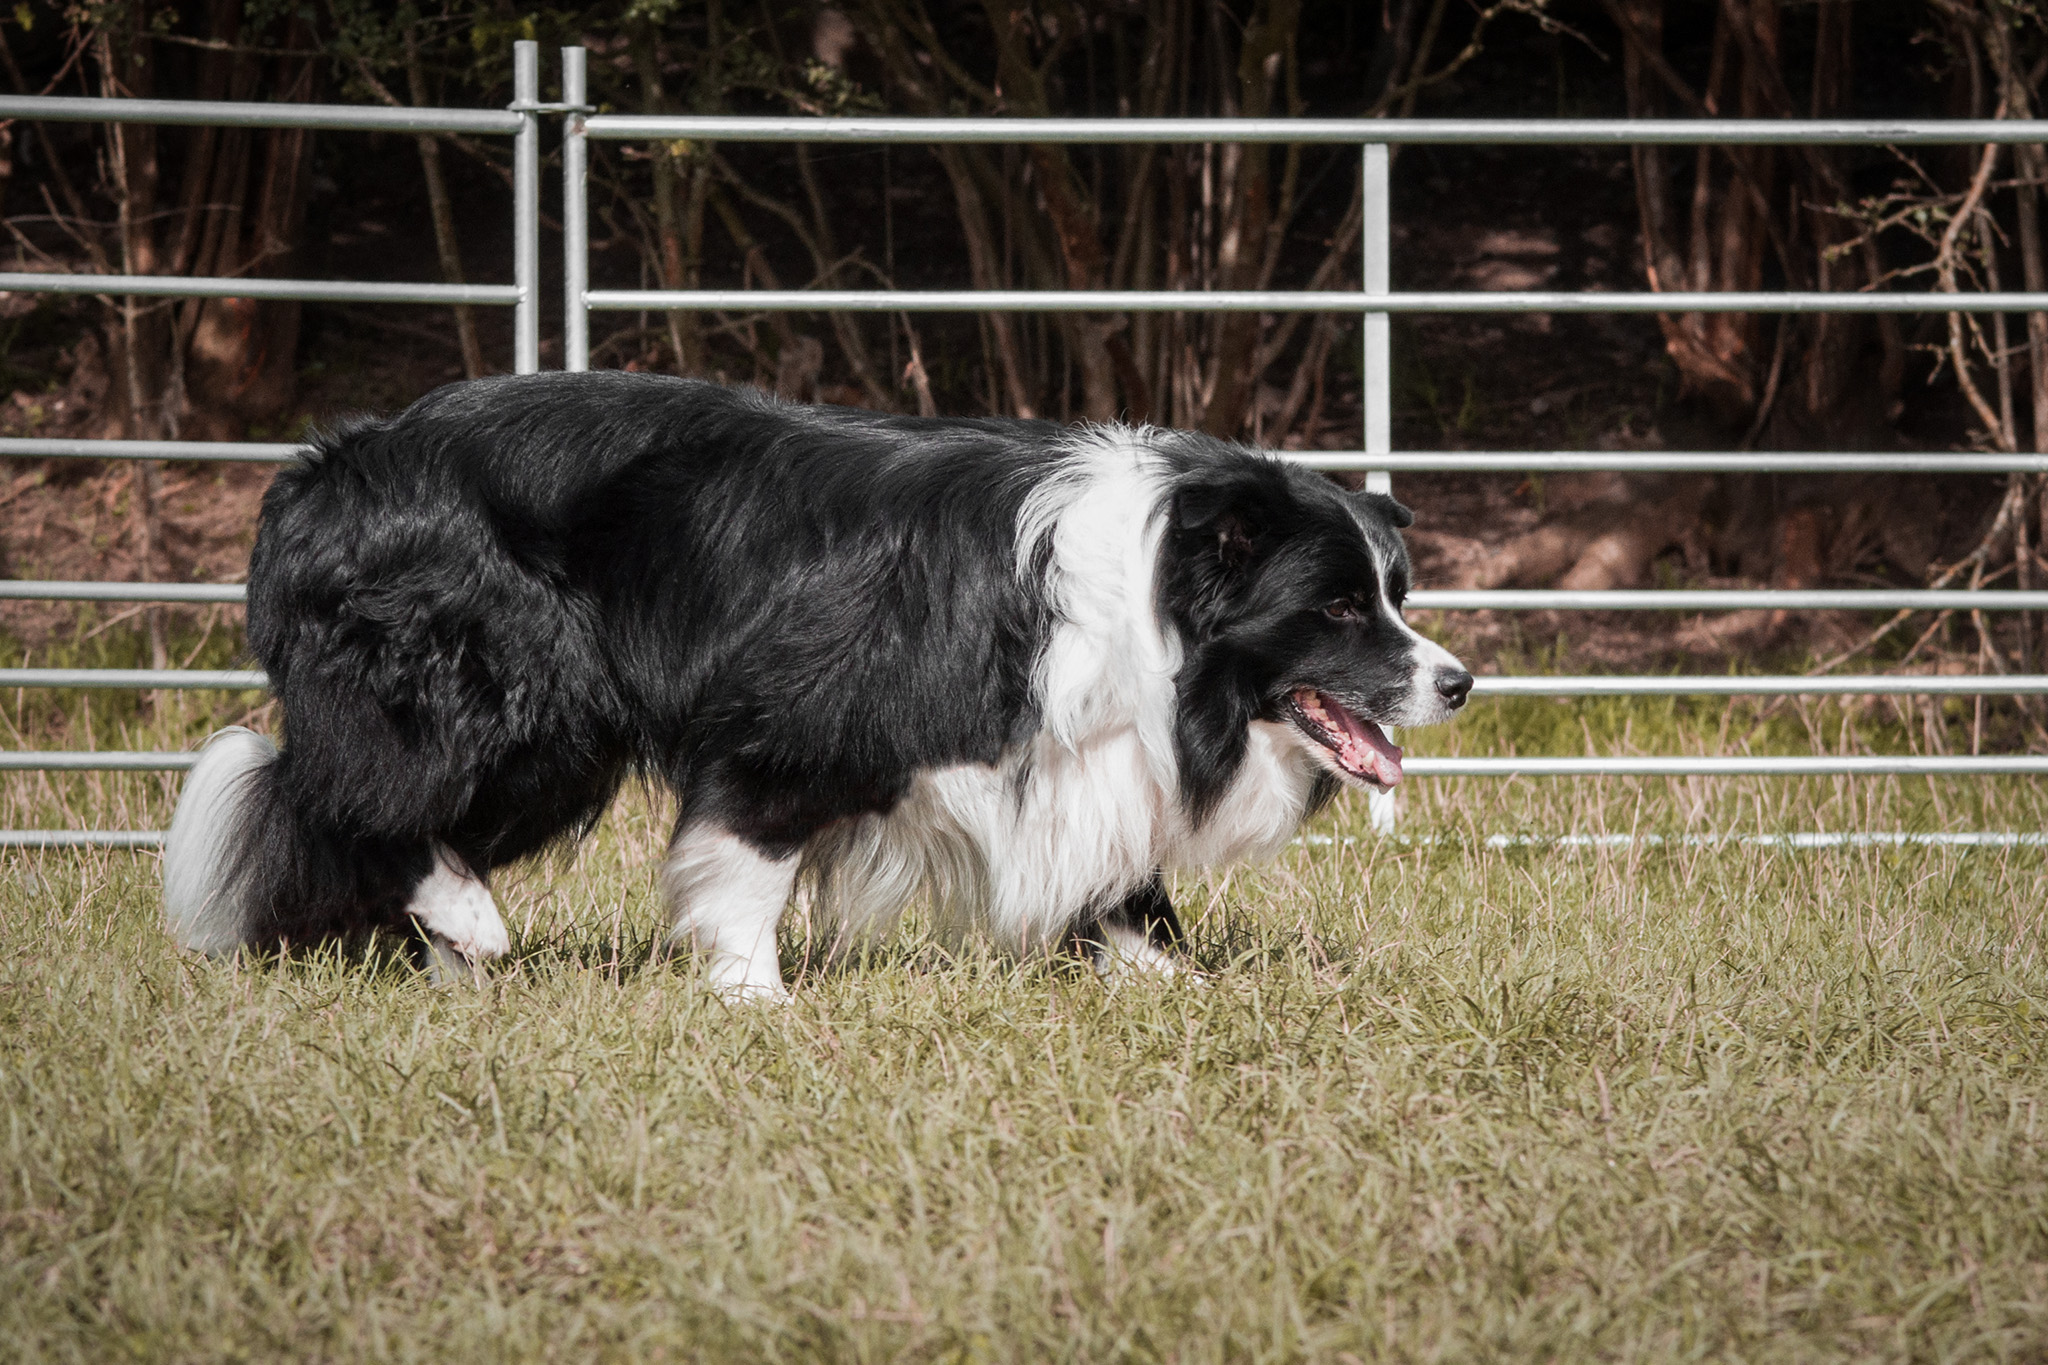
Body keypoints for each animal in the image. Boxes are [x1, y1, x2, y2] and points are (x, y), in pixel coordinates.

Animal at [163, 370, 1474, 994]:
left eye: (1396, 593)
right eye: (1339, 608)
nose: (1458, 682)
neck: (1150, 597)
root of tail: (325, 470)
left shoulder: (1079, 756)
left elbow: (1119, 887)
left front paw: (1176, 982)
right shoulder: (787, 721)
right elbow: (742, 862)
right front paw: (753, 997)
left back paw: (455, 957)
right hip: (518, 685)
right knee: (359, 800)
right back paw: (471, 924)